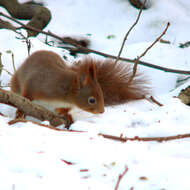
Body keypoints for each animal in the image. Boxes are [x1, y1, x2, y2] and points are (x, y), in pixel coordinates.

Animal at [10, 49, 150, 124]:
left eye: (102, 93)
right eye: (92, 100)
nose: (102, 111)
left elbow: (65, 110)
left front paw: (67, 116)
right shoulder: (37, 85)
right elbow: (25, 98)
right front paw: (20, 113)